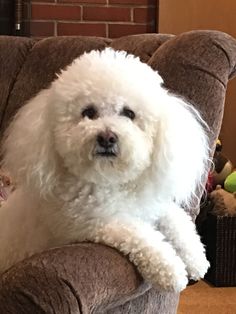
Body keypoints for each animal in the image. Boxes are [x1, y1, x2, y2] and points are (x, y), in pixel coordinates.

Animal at [0, 49, 210, 292]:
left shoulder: (152, 204)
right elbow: (140, 235)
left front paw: (195, 257)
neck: (110, 181)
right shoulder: (95, 223)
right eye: (88, 112)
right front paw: (170, 269)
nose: (107, 137)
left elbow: (177, 219)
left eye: (129, 113)